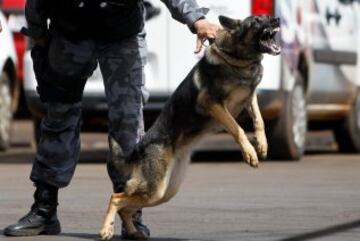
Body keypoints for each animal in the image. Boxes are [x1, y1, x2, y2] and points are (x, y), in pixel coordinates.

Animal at [100, 15, 280, 241]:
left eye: (266, 18)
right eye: (257, 21)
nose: (277, 19)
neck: (237, 59)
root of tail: (138, 148)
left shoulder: (250, 98)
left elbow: (259, 121)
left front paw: (262, 145)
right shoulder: (212, 103)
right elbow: (237, 128)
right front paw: (249, 152)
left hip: (164, 192)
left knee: (125, 207)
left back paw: (133, 232)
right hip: (154, 190)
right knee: (116, 197)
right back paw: (106, 229)